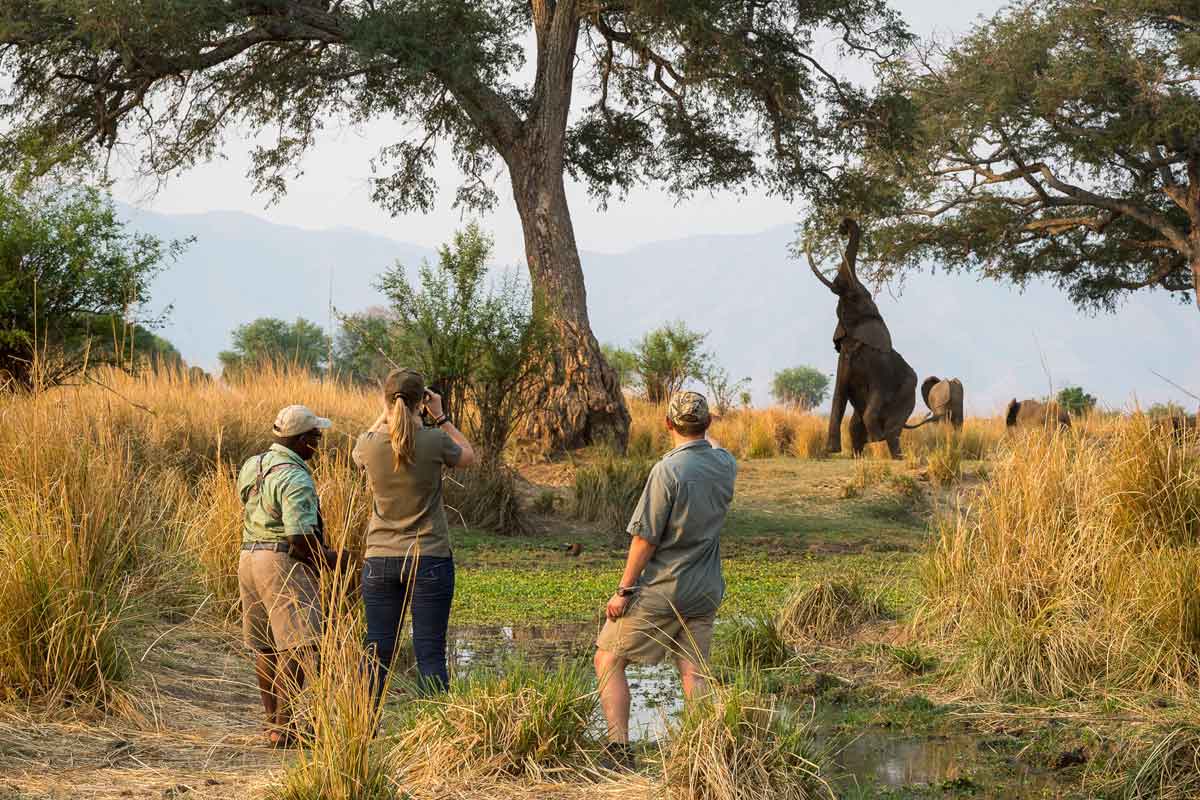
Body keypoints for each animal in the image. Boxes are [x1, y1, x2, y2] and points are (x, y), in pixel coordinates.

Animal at [806, 219, 916, 460]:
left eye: (859, 295)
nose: (843, 226)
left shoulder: (880, 368)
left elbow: (875, 396)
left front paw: (877, 439)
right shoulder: (843, 360)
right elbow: (837, 398)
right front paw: (832, 450)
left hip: (907, 395)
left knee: (892, 427)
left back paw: (895, 454)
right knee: (855, 425)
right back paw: (858, 456)